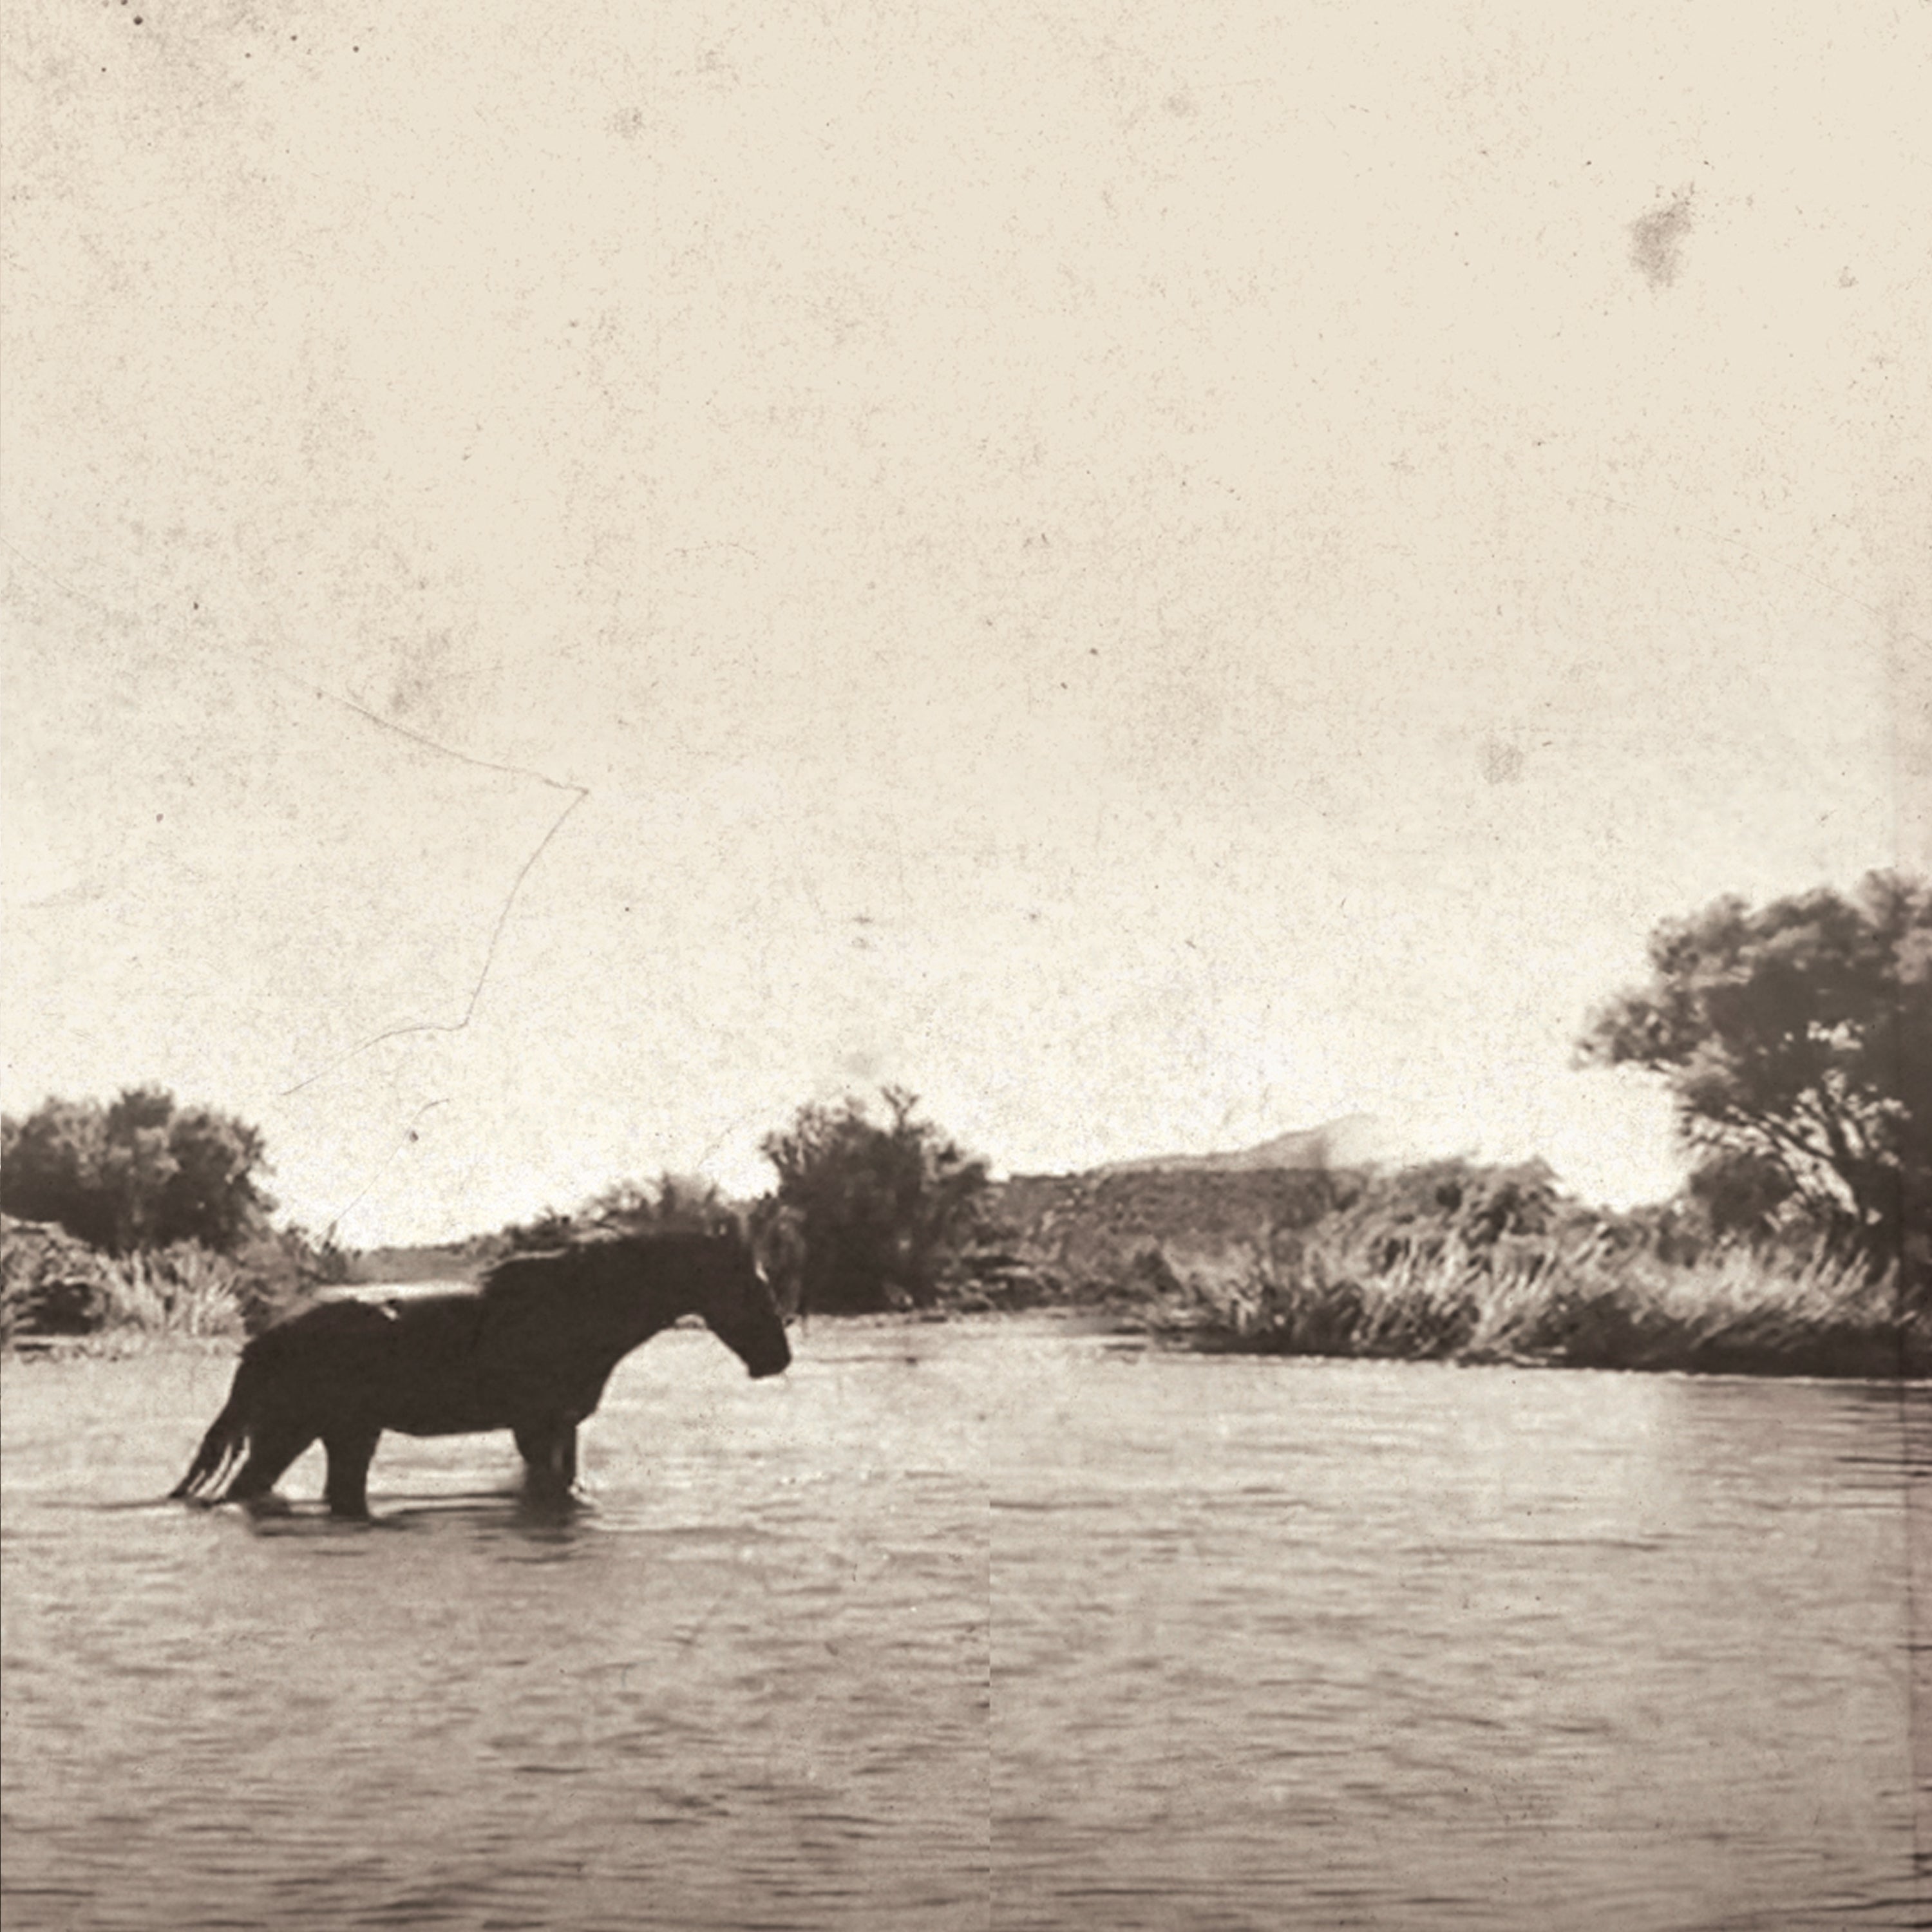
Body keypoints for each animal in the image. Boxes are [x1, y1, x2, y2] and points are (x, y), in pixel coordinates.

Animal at [170, 1230, 791, 1517]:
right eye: (751, 1284)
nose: (778, 1358)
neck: (585, 1308)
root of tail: (261, 1342)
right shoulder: (541, 1425)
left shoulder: (559, 1425)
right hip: (291, 1433)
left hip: (346, 1435)